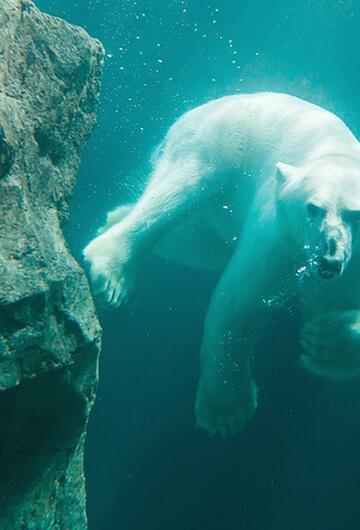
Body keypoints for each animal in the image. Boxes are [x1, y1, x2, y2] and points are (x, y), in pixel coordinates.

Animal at [83, 93, 360, 436]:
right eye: (313, 208)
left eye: (355, 214)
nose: (329, 259)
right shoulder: (277, 239)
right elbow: (239, 302)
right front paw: (227, 412)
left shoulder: (348, 269)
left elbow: (327, 308)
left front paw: (326, 341)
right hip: (216, 144)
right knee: (176, 194)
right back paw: (111, 267)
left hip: (214, 226)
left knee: (192, 241)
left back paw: (111, 218)